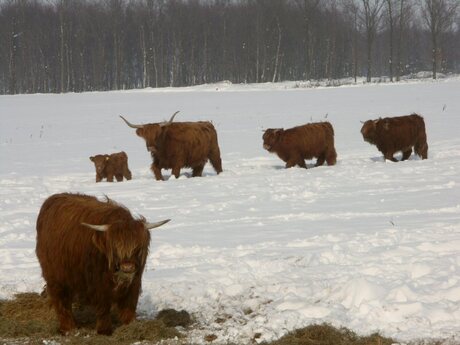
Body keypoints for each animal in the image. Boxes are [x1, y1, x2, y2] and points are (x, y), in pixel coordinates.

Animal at [34, 191, 171, 334]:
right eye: (115, 248)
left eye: (137, 247)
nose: (127, 267)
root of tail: (53, 198)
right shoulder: (98, 283)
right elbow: (103, 306)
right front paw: (104, 330)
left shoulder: (134, 282)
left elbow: (129, 305)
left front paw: (130, 325)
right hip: (55, 276)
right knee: (61, 301)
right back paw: (69, 328)